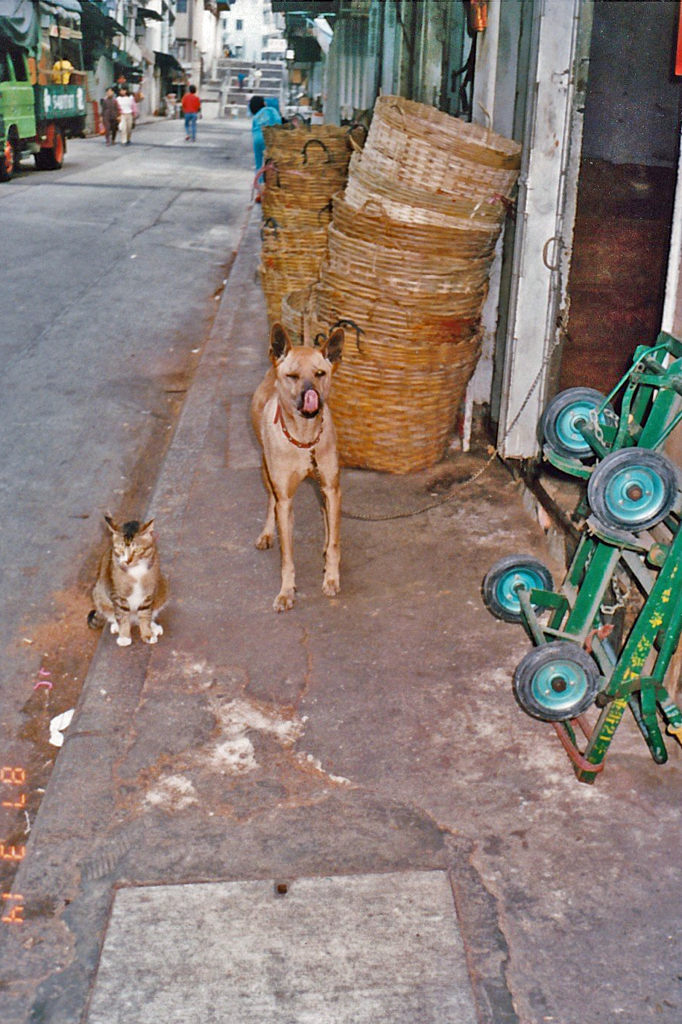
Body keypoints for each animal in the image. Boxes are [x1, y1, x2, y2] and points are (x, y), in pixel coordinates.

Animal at [249, 321, 342, 606]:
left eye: (320, 373)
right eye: (292, 376)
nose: (311, 396)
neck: (305, 440)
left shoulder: (332, 488)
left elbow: (335, 542)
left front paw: (331, 577)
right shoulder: (285, 498)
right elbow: (287, 555)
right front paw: (286, 590)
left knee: (324, 512)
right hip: (266, 471)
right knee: (271, 501)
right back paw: (268, 533)